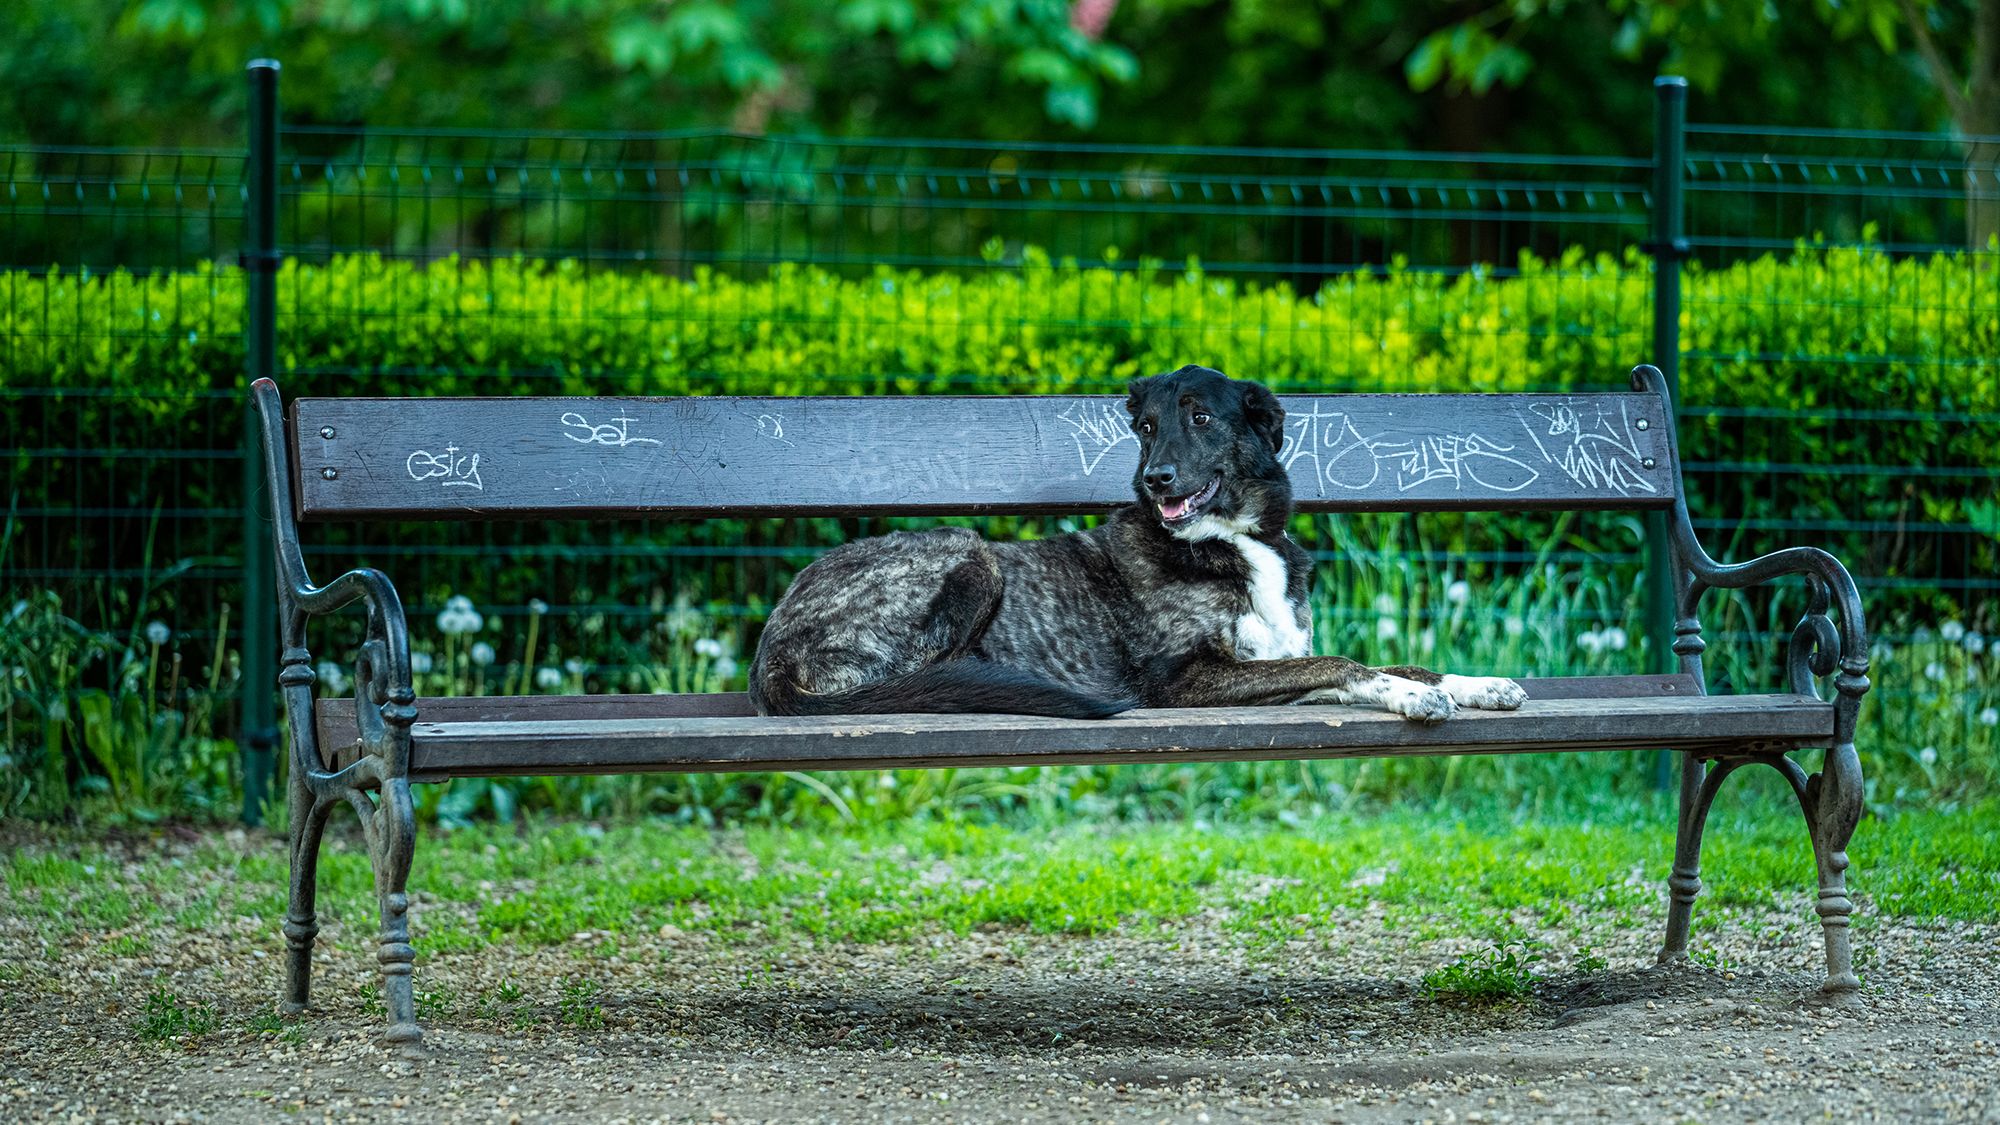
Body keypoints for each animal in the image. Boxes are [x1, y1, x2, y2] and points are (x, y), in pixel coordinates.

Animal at [752, 364, 1528, 720]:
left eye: (1201, 417)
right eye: (1148, 426)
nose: (1155, 480)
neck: (1232, 543)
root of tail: (771, 656)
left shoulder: (1270, 666)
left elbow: (1369, 662)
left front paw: (1474, 683)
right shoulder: (1181, 678)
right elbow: (1346, 662)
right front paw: (1411, 697)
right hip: (968, 549)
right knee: (919, 681)